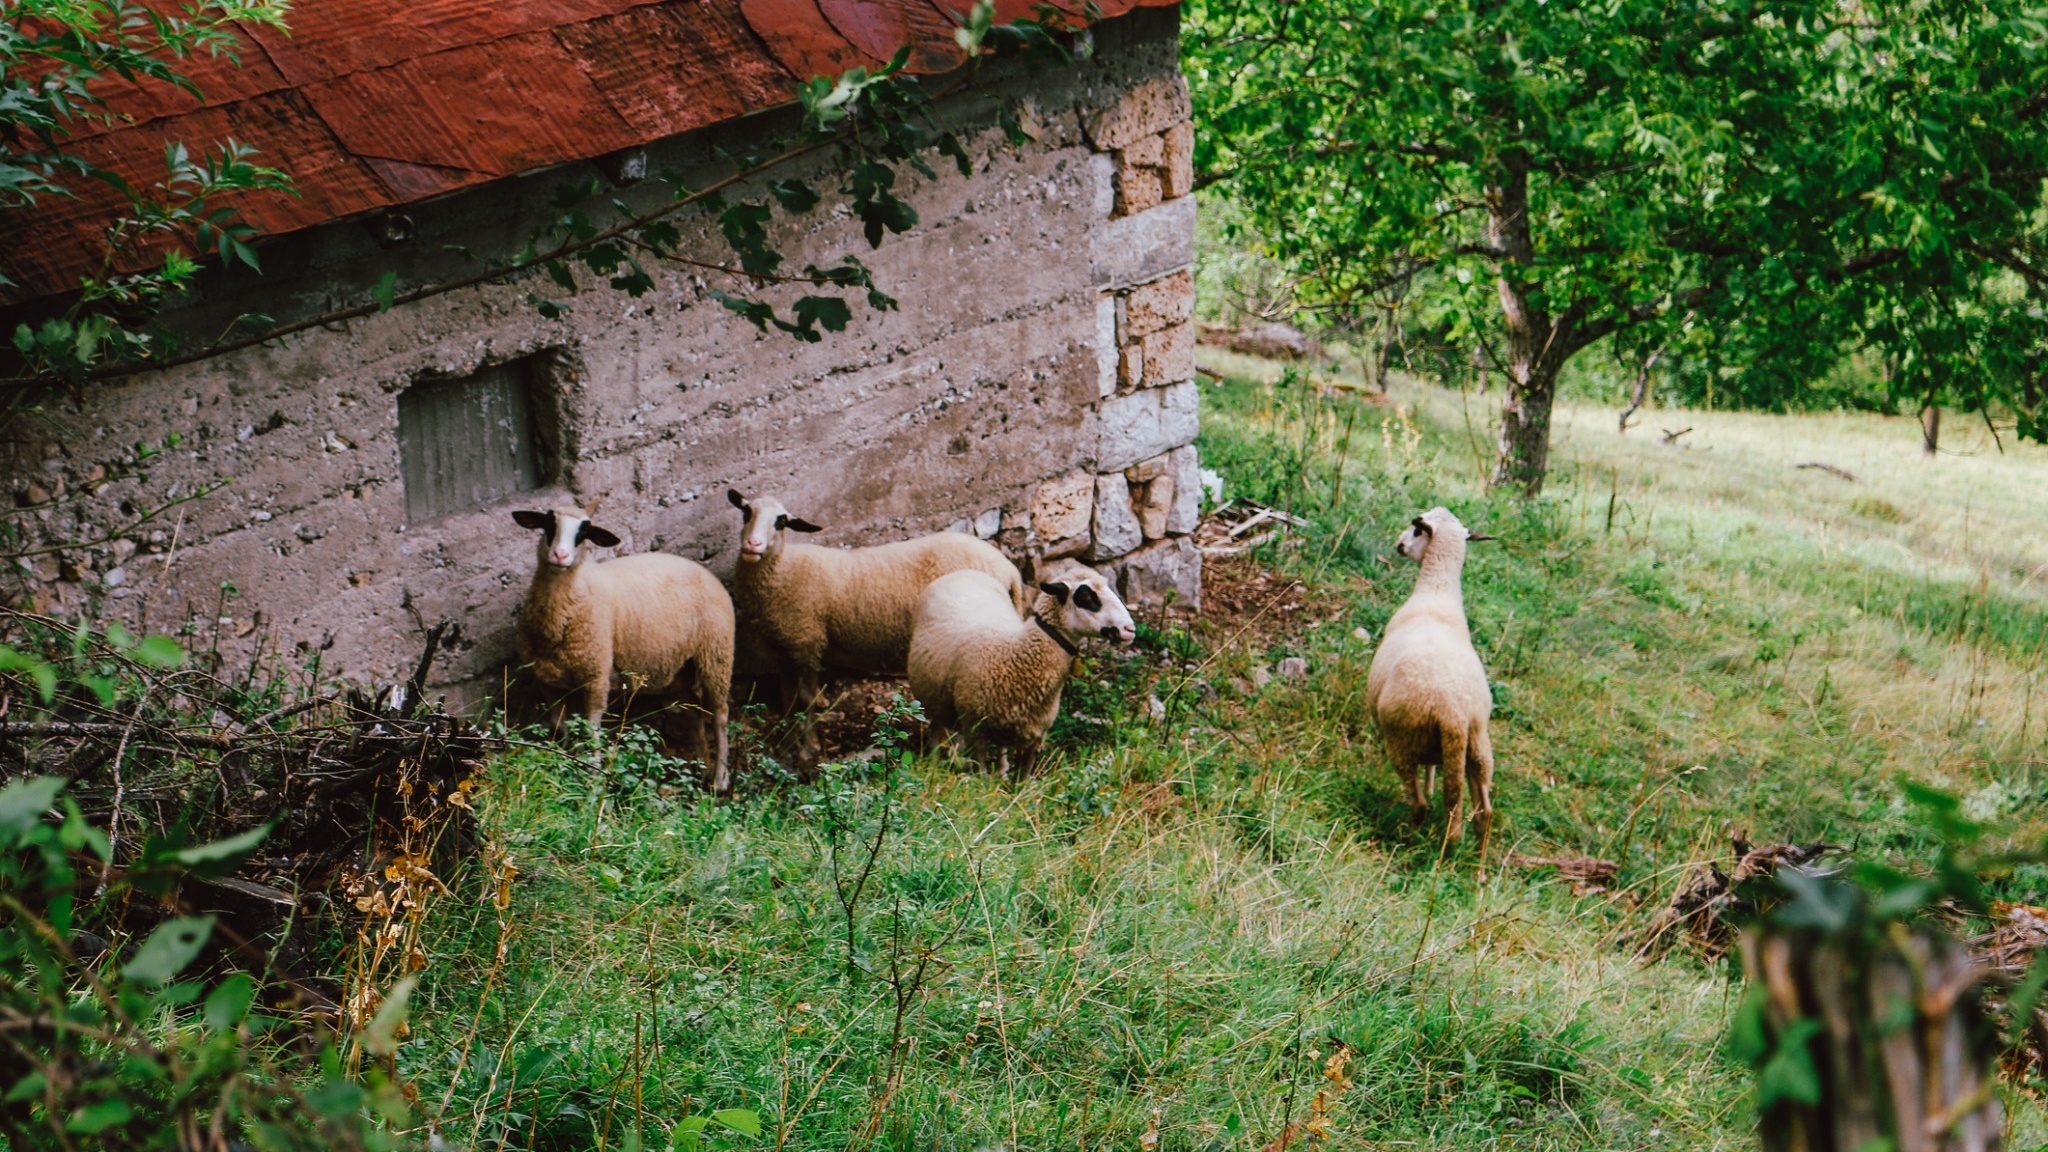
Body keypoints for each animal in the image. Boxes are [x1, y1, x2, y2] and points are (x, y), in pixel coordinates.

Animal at [513, 502, 736, 791]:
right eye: (549, 524)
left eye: (583, 533)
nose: (560, 556)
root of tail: (705, 571)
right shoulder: (546, 681)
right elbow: (559, 725)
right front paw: (559, 764)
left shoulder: (596, 676)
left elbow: (591, 730)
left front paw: (593, 779)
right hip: (677, 668)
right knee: (695, 713)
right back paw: (703, 767)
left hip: (717, 652)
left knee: (720, 714)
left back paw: (720, 778)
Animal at [724, 489, 1029, 732]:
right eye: (746, 512)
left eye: (782, 521)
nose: (752, 545)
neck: (783, 569)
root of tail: (1009, 570)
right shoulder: (782, 649)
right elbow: (787, 694)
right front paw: (788, 723)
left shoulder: (807, 642)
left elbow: (808, 693)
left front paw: (817, 712)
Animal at [907, 560, 1135, 778]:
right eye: (1086, 597)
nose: (1130, 630)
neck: (1015, 654)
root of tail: (964, 572)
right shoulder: (975, 730)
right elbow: (981, 775)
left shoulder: (1035, 736)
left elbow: (1022, 781)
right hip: (936, 702)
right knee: (937, 731)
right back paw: (934, 762)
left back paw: (1000, 768)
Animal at [1365, 506, 1498, 859]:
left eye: (1416, 530)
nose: (1399, 545)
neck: (1437, 591)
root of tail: (1453, 715)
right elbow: (1432, 772)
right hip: (1478, 748)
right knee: (1484, 811)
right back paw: (1478, 866)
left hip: (1401, 740)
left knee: (1423, 804)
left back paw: (1410, 840)